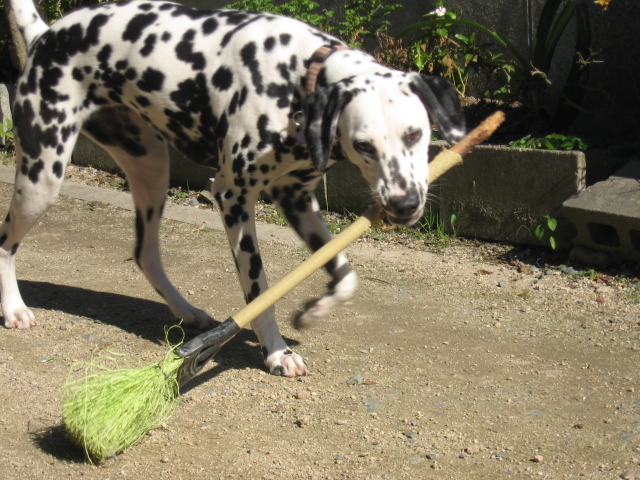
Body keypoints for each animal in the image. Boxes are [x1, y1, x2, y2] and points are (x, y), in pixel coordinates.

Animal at [3, 0, 464, 376]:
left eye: (415, 134)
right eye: (364, 145)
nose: (404, 204)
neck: (297, 75)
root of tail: (45, 34)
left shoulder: (298, 201)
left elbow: (345, 275)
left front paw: (315, 311)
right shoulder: (233, 197)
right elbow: (259, 290)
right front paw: (276, 352)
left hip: (151, 169)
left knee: (145, 253)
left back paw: (188, 312)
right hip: (43, 177)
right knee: (6, 242)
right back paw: (13, 308)